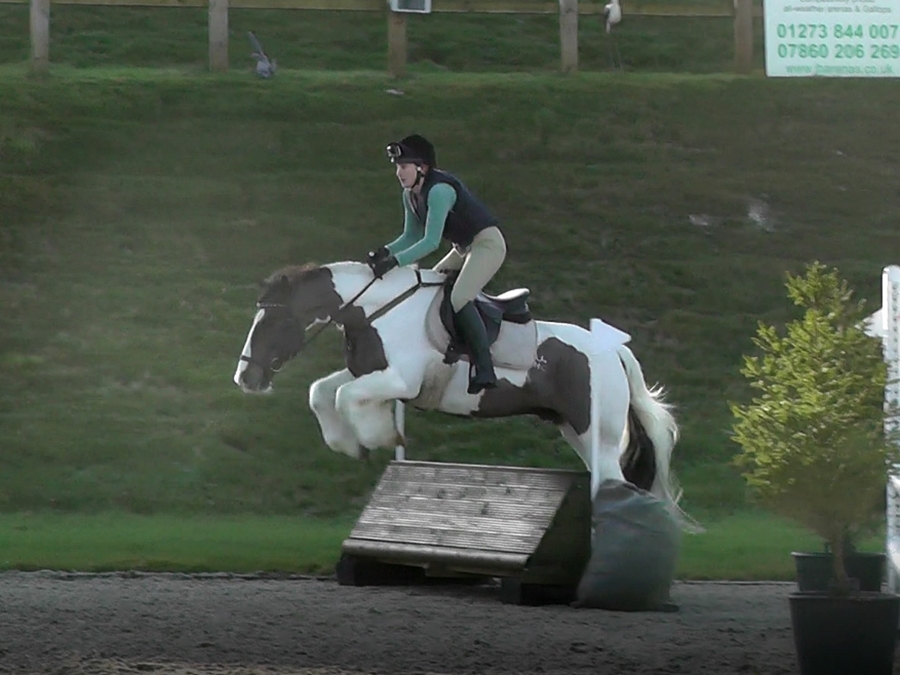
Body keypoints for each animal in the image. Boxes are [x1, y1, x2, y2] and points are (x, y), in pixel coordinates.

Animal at [233, 260, 697, 531]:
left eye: (272, 322)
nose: (245, 377)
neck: (378, 310)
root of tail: (614, 349)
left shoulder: (398, 381)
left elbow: (346, 396)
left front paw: (376, 436)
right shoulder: (372, 372)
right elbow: (322, 390)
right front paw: (348, 444)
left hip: (596, 432)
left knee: (614, 482)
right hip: (574, 430)